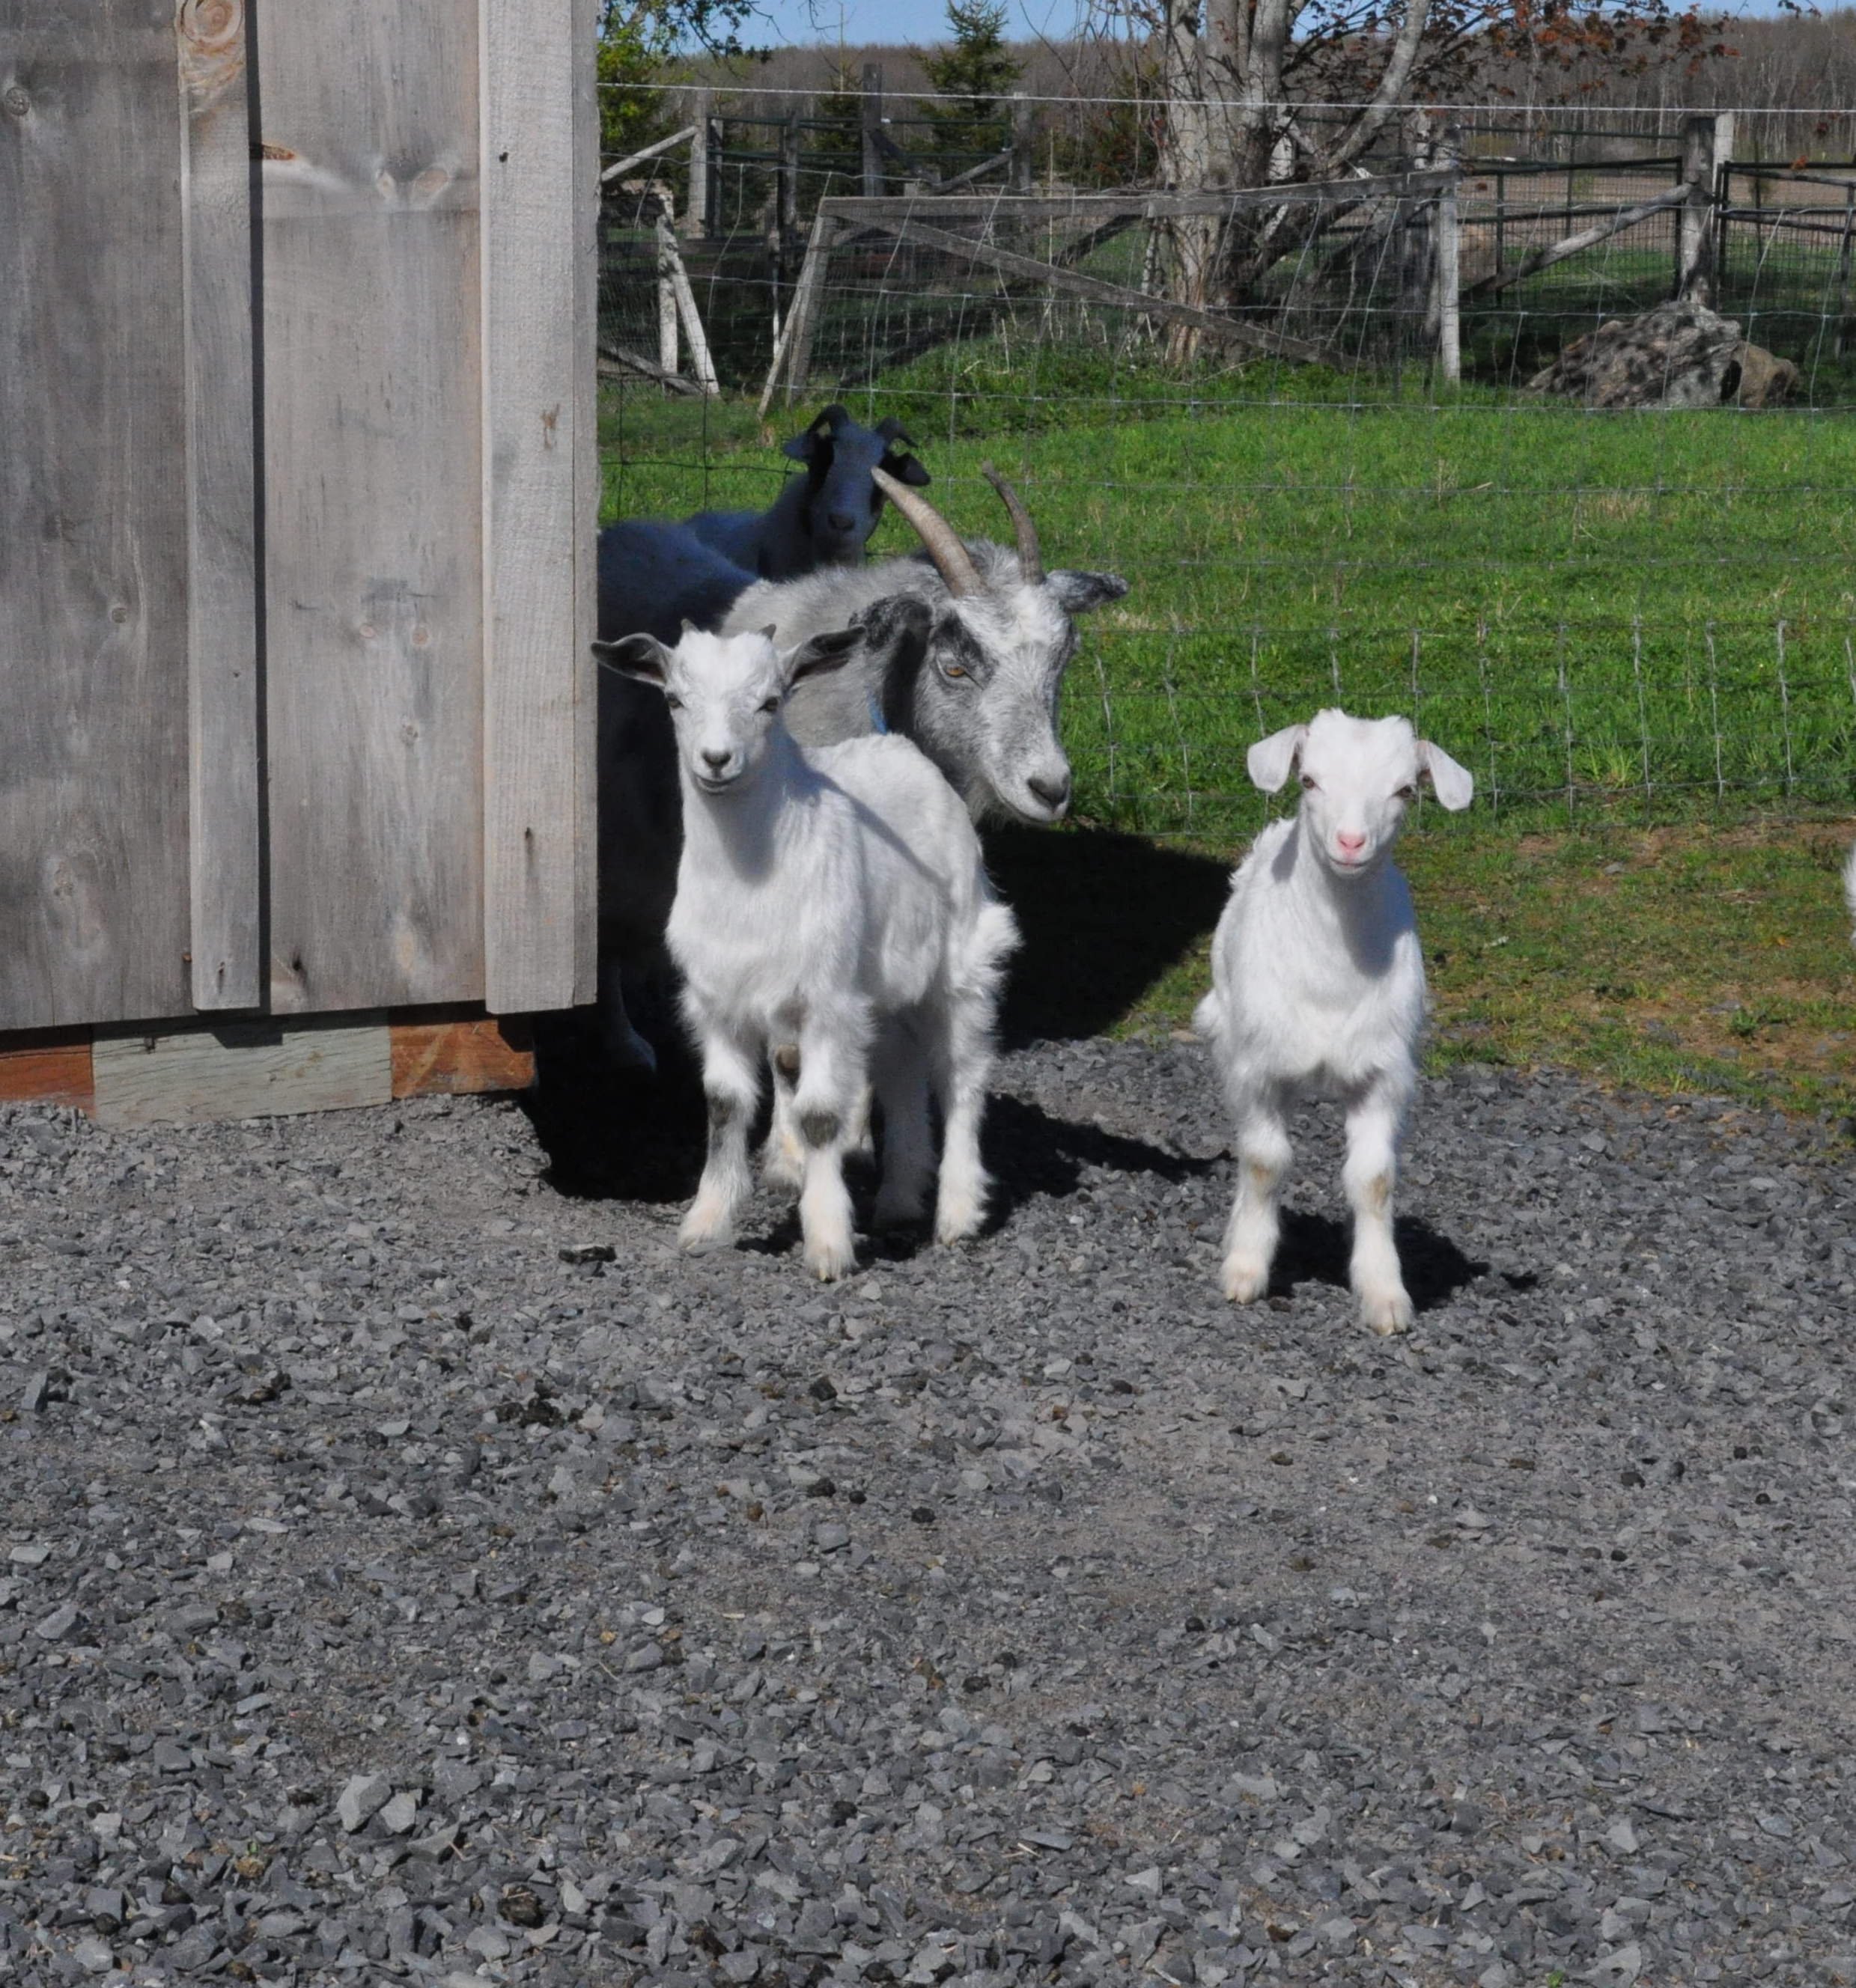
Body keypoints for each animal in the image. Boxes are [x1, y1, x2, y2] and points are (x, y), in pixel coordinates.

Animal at [594, 622, 1019, 1281]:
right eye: (675, 700)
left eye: (771, 702)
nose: (716, 760)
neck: (750, 878)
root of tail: (902, 749)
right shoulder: (717, 999)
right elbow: (723, 1103)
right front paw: (705, 1222)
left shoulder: (825, 1003)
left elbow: (820, 1116)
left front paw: (827, 1243)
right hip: (881, 989)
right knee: (899, 1070)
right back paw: (899, 1201)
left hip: (962, 963)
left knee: (962, 1077)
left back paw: (956, 1212)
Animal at [1194, 709, 1474, 1334]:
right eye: (1310, 781)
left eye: (1404, 790)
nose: (1350, 842)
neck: (1331, 973)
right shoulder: (1257, 1068)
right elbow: (1263, 1162)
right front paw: (1245, 1270)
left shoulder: (1383, 1073)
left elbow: (1373, 1180)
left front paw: (1384, 1295)